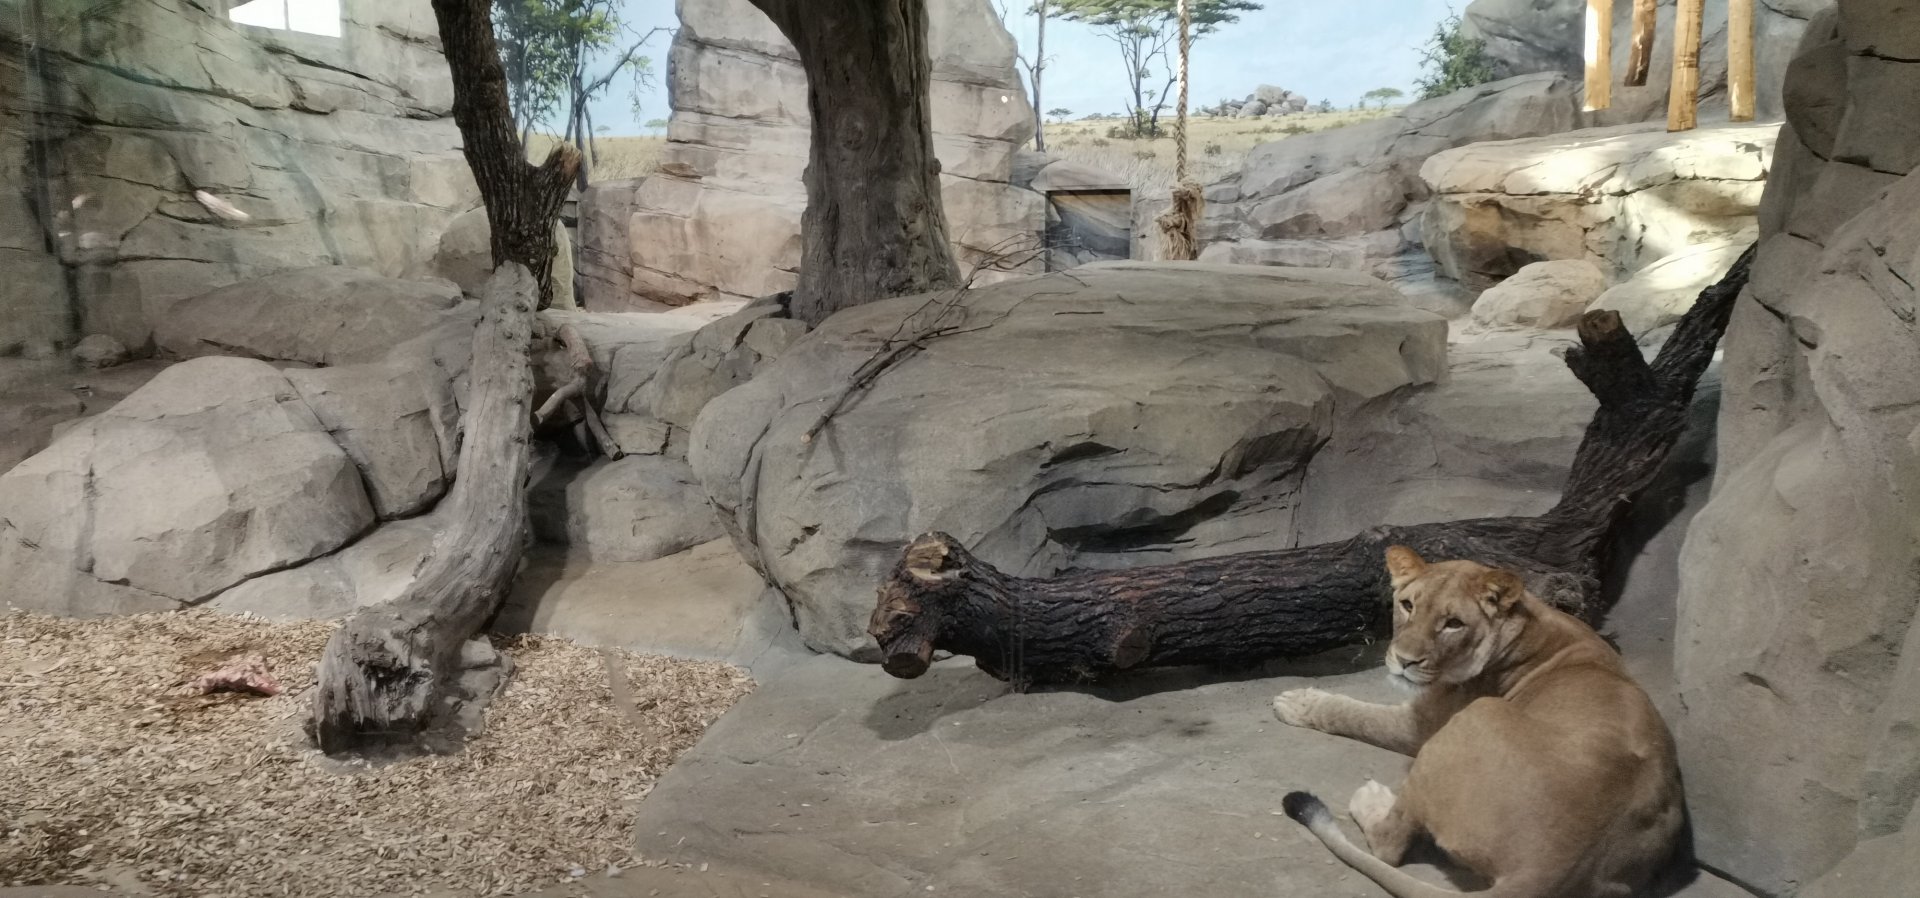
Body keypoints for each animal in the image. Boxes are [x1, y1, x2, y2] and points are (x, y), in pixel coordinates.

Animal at [1270, 546, 1685, 898]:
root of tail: (1546, 870)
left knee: (1390, 845)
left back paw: (1370, 797)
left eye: (1453, 623)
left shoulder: (1422, 725)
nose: (1403, 660)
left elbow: (1356, 713)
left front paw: (1297, 702)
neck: (1525, 623)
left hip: (1469, 720)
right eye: (1407, 605)